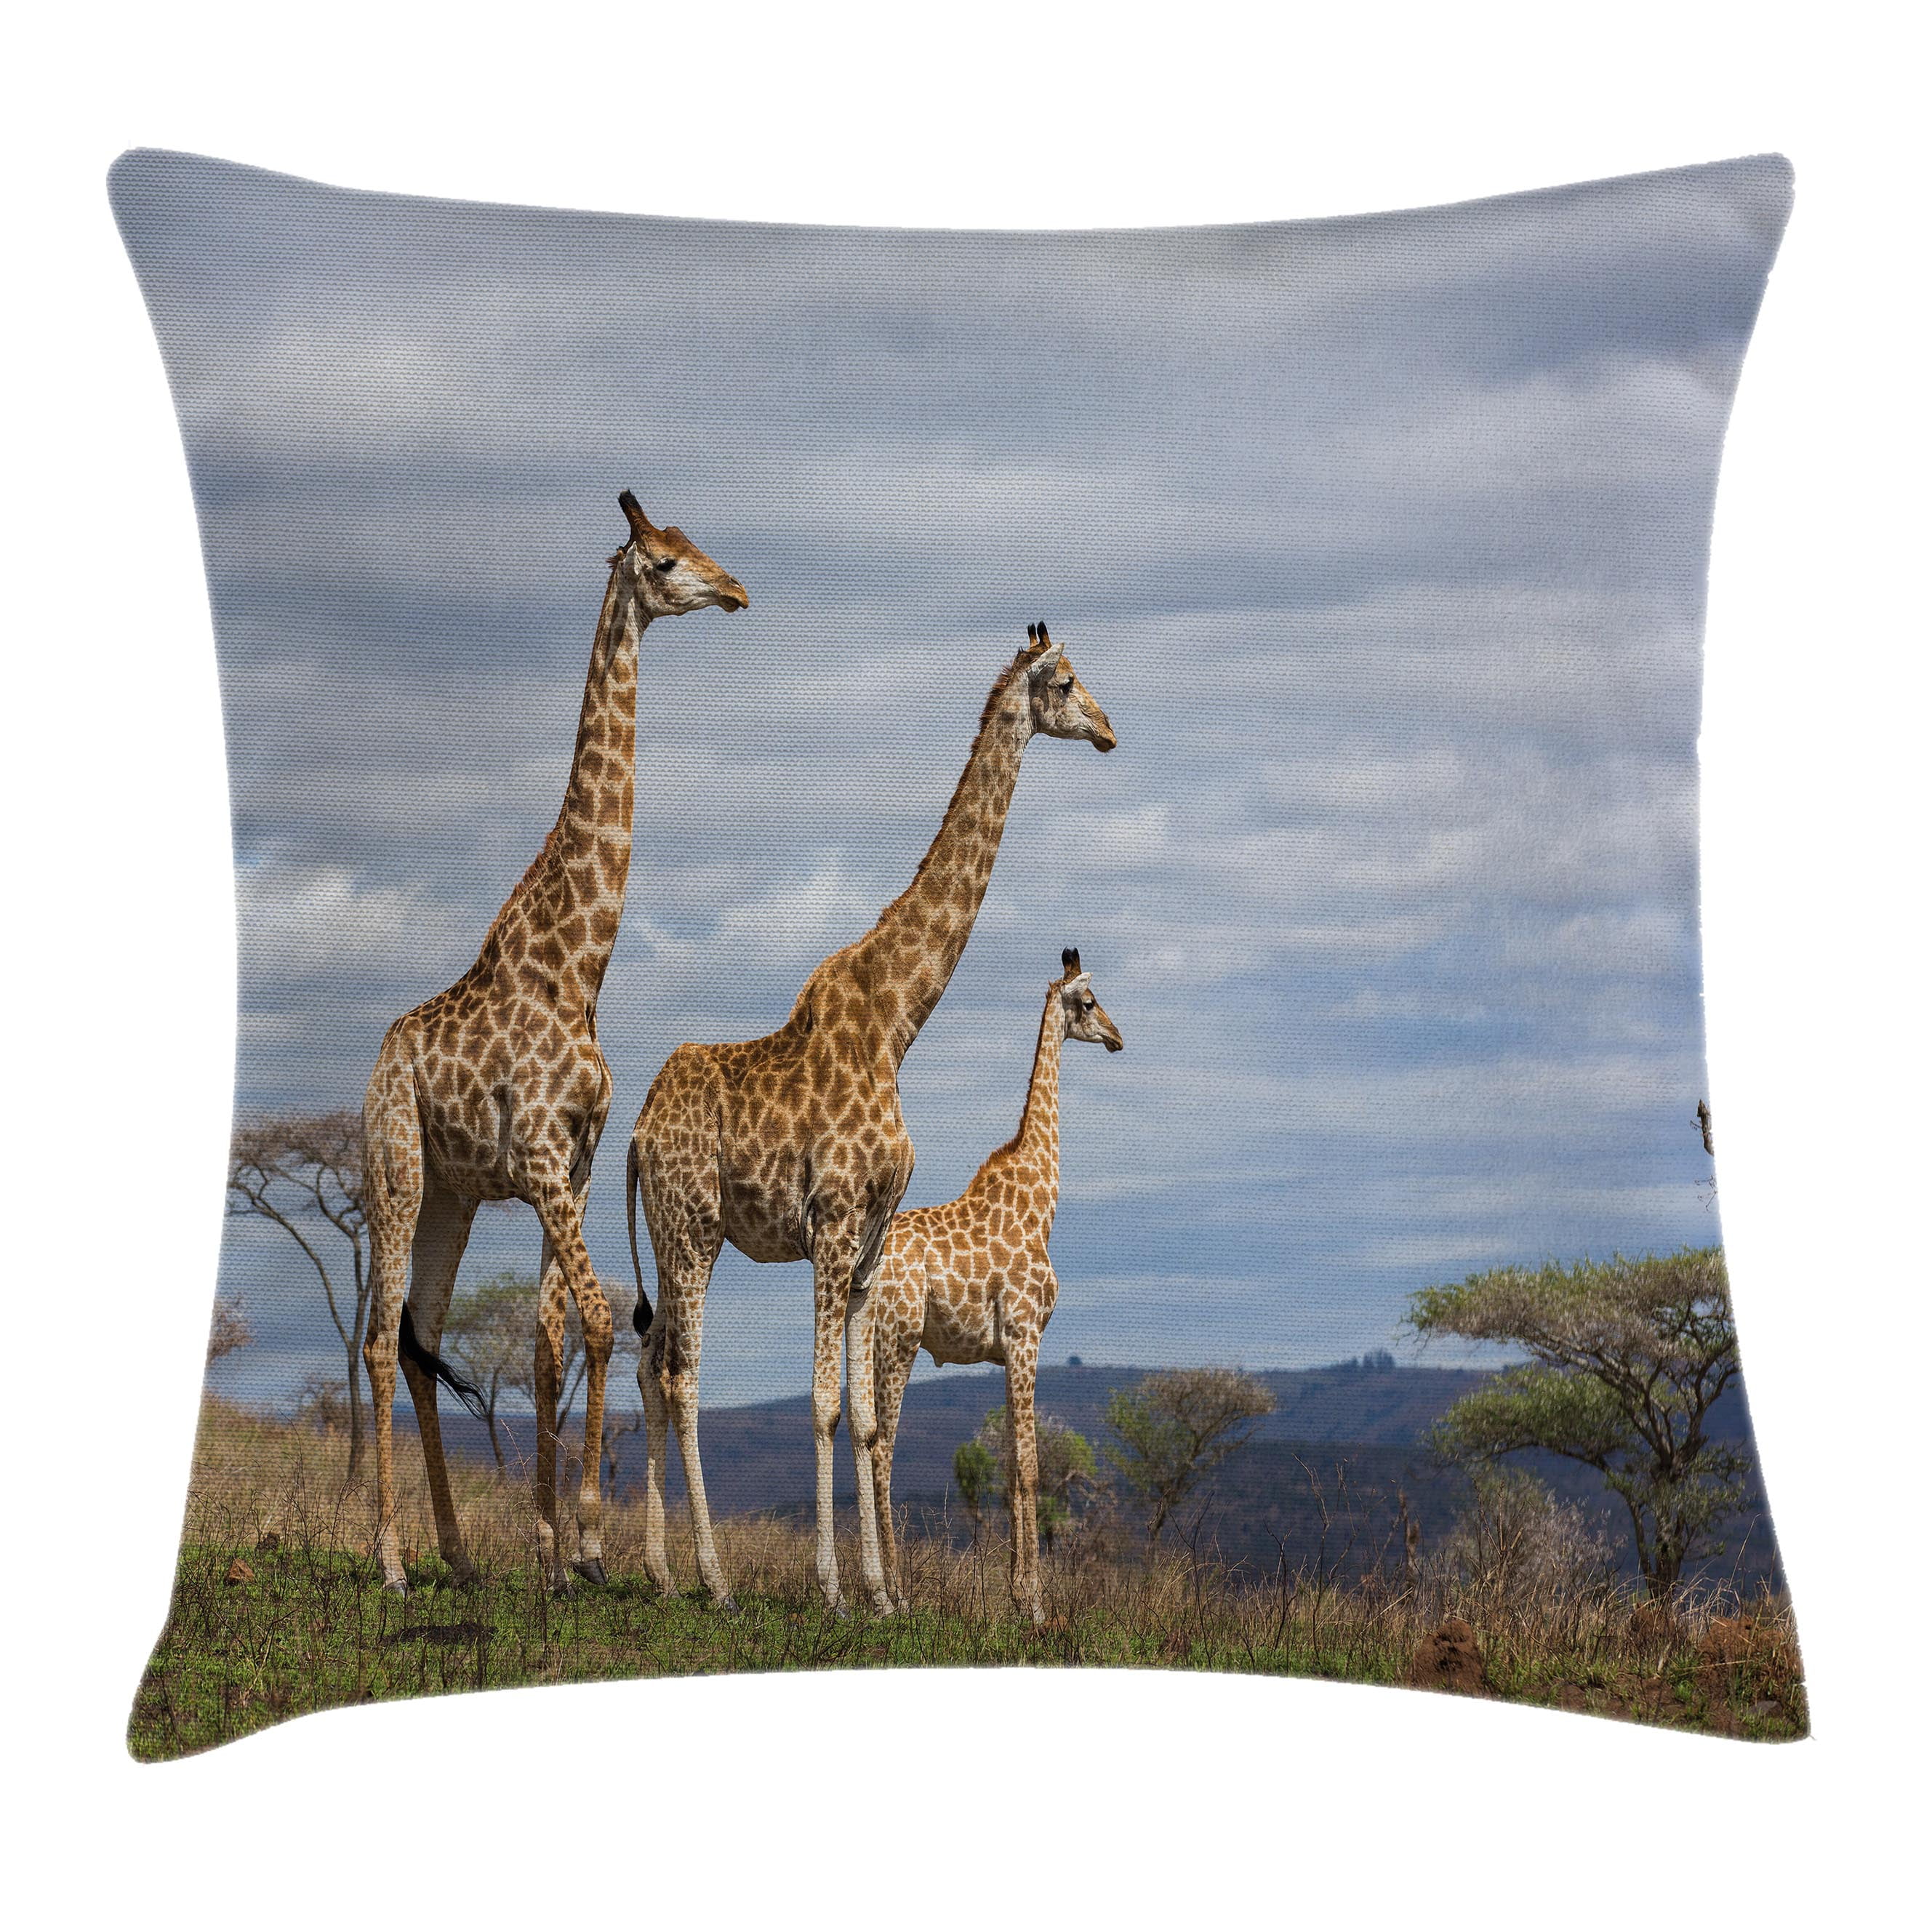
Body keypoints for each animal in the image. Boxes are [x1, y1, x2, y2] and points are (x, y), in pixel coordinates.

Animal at [360, 491, 748, 1595]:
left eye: (694, 546)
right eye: (663, 561)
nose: (736, 590)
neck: (577, 970)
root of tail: (376, 1063)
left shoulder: (566, 1166)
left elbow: (544, 1344)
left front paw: (546, 1552)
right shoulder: (536, 1159)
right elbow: (606, 1322)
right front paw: (586, 1542)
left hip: (450, 1195)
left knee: (421, 1336)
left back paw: (455, 1552)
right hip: (394, 1169)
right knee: (378, 1341)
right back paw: (390, 1558)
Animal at [871, 948, 1123, 1622]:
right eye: (1090, 1001)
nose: (1118, 1037)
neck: (1040, 1201)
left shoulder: (1006, 1348)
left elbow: (1011, 1464)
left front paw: (1016, 1592)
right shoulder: (1026, 1331)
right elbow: (1031, 1467)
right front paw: (1032, 1603)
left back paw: (876, 1587)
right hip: (899, 1339)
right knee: (882, 1447)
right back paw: (897, 1594)